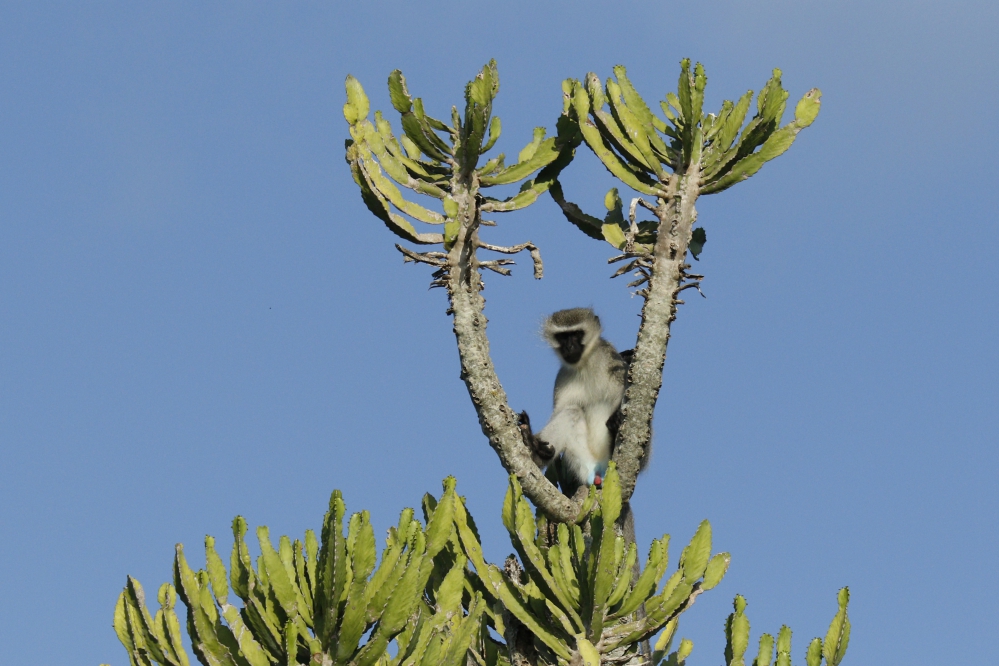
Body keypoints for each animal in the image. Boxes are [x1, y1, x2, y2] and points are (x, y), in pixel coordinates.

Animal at [520, 308, 628, 492]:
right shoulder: (563, 377)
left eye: (577, 334)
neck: (585, 364)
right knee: (572, 410)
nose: (569, 347)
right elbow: (561, 410)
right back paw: (536, 450)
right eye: (563, 337)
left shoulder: (612, 362)